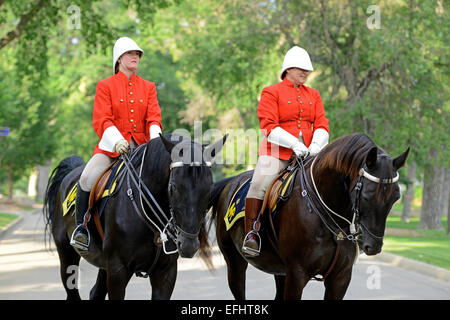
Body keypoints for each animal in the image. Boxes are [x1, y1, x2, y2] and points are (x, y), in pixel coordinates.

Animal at [44, 133, 227, 300]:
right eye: (173, 187)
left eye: (209, 187)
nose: (188, 245)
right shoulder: (118, 270)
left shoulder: (166, 272)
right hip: (68, 255)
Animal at [209, 133, 410, 300]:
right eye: (367, 195)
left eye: (396, 197)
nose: (373, 246)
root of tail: (231, 182)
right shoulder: (297, 274)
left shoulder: (340, 278)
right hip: (235, 262)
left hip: (280, 271)